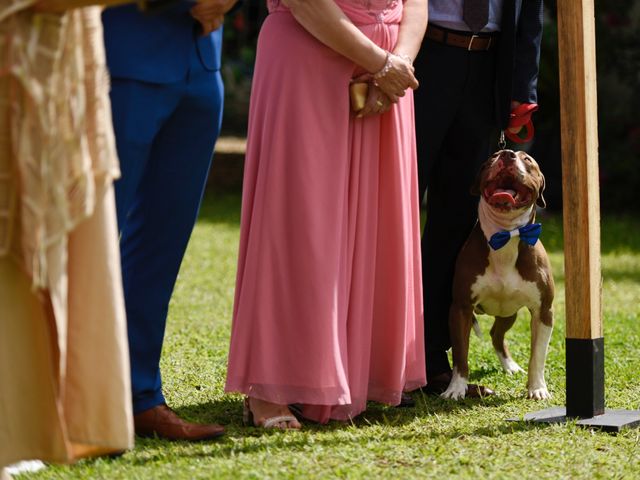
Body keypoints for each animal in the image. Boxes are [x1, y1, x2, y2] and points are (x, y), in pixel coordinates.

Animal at [440, 150, 556, 402]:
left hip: (509, 312)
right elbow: (460, 354)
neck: (506, 234)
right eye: (491, 158)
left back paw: (511, 366)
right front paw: (456, 388)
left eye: (527, 159)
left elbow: (538, 356)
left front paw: (537, 388)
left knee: (496, 334)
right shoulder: (461, 308)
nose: (507, 154)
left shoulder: (543, 311)